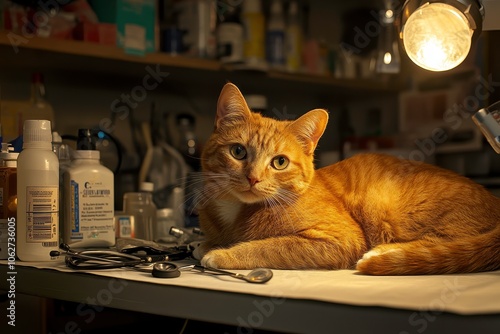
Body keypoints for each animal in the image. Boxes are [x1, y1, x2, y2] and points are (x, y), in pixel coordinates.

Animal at [193, 82, 500, 276]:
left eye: (279, 162)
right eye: (238, 151)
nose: (253, 178)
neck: (235, 212)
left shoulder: (338, 239)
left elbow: (270, 246)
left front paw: (222, 254)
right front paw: (206, 244)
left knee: (443, 242)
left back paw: (383, 253)